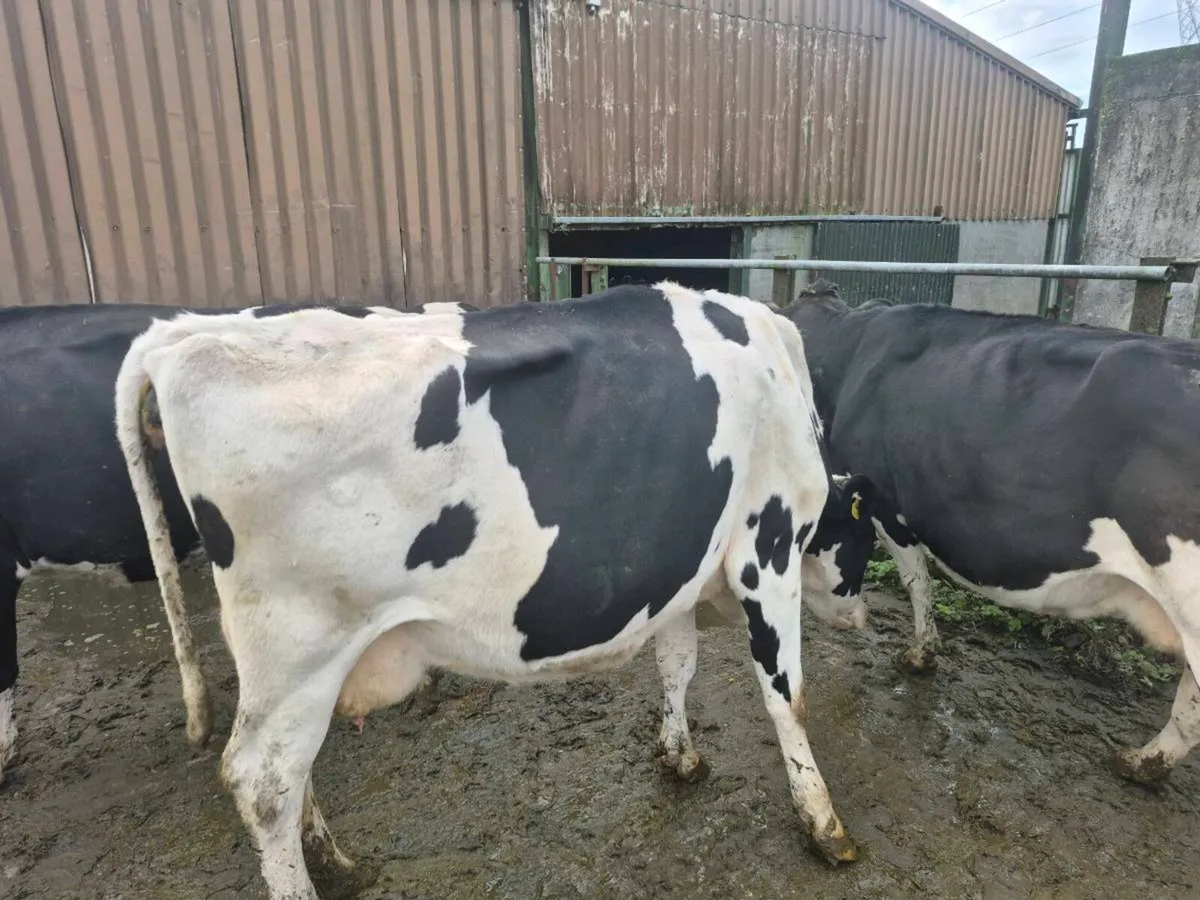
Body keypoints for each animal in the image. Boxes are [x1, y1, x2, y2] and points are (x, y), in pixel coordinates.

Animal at [115, 282, 878, 899]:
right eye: (865, 538)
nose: (864, 614)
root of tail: (189, 334)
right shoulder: (766, 547)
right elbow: (786, 697)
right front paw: (825, 825)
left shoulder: (678, 572)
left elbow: (677, 666)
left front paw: (680, 757)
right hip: (297, 638)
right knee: (263, 781)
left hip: (293, 664)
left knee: (290, 771)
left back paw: (336, 863)